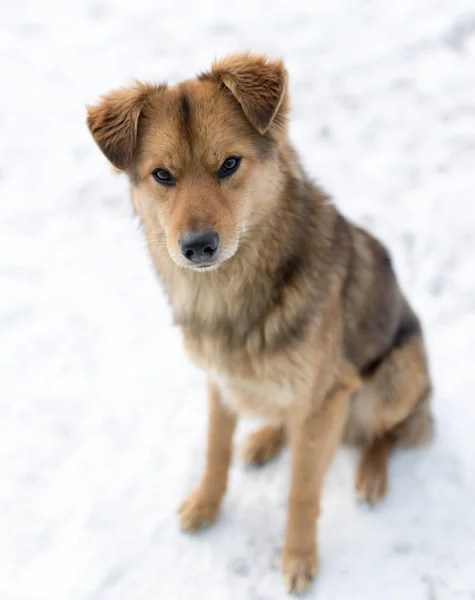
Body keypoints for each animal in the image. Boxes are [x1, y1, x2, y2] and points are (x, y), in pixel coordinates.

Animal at [87, 54, 434, 592]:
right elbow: (216, 451)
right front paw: (205, 505)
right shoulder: (219, 381)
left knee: (388, 432)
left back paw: (372, 474)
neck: (230, 296)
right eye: (162, 175)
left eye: (229, 164)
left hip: (400, 374)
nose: (197, 247)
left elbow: (302, 491)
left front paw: (298, 558)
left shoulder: (328, 394)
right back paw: (268, 438)